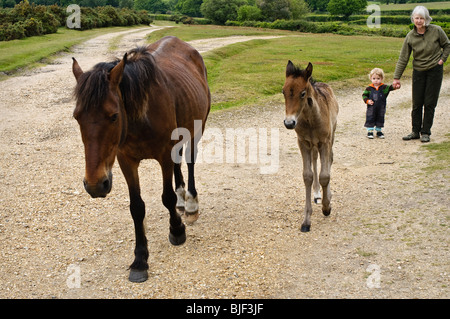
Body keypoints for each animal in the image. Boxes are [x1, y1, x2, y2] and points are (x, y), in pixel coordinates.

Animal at [71, 36, 211, 284]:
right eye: (77, 116)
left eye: (114, 116)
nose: (95, 185)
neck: (141, 116)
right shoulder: (126, 160)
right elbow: (136, 208)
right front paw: (140, 260)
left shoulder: (163, 155)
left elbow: (166, 197)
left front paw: (177, 230)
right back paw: (182, 198)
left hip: (197, 128)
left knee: (190, 162)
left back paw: (191, 204)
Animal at [284, 61, 340, 234]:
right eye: (283, 92)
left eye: (302, 93)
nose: (289, 123)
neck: (311, 119)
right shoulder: (303, 142)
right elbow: (307, 176)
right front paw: (306, 221)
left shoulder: (325, 142)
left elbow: (325, 175)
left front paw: (327, 207)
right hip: (313, 145)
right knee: (316, 160)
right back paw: (317, 194)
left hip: (331, 136)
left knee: (329, 160)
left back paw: (327, 195)